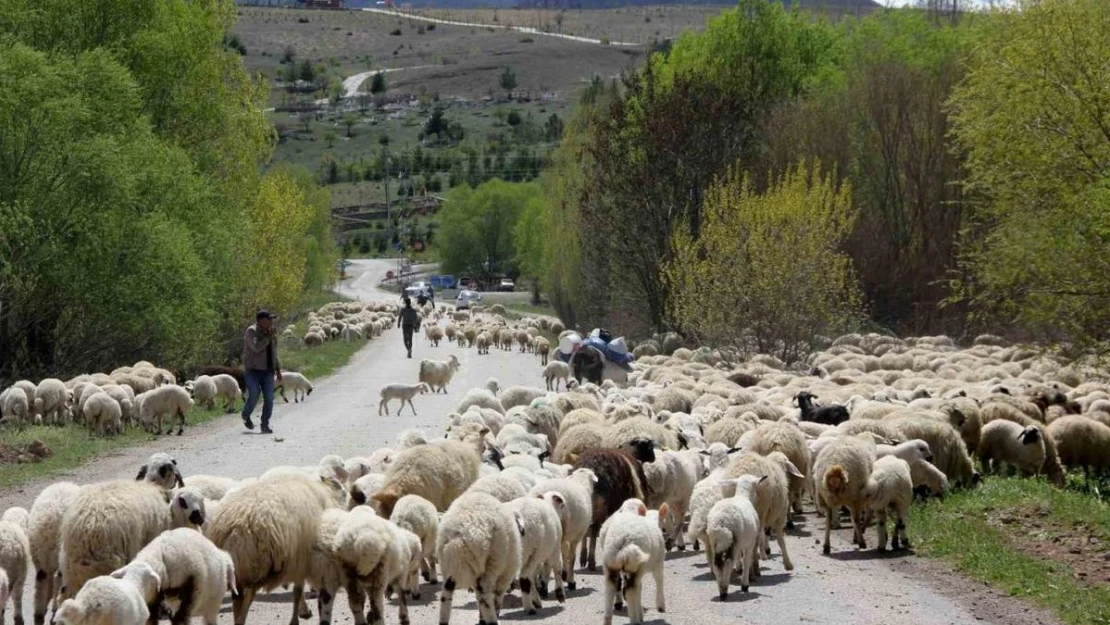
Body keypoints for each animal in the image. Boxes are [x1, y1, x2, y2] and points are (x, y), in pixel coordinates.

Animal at [204, 475, 341, 625]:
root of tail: (235, 529)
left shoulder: (297, 561)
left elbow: (297, 589)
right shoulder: (300, 558)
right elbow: (297, 591)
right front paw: (299, 616)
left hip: (239, 573)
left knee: (238, 601)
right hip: (257, 568)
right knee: (246, 601)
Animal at [435, 495, 521, 625]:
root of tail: (459, 536)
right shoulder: (506, 574)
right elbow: (498, 595)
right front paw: (491, 614)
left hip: (448, 566)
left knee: (446, 595)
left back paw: (443, 621)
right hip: (491, 563)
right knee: (484, 595)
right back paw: (492, 620)